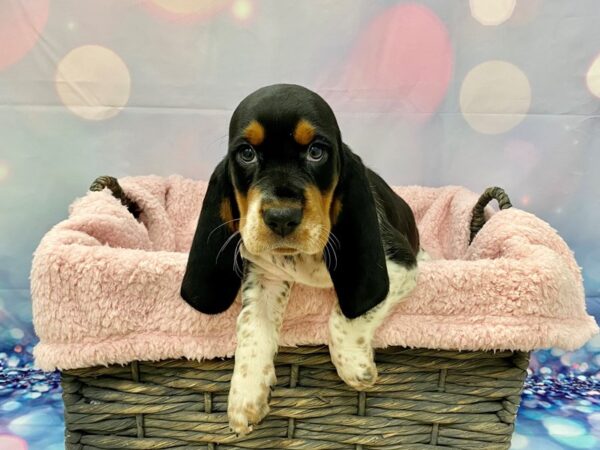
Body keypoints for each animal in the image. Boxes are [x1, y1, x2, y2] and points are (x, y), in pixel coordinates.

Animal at [180, 84, 420, 436]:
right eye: (247, 154)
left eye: (316, 152)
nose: (281, 217)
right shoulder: (264, 276)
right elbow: (251, 328)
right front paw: (245, 395)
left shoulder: (400, 265)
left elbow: (346, 315)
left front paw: (354, 364)